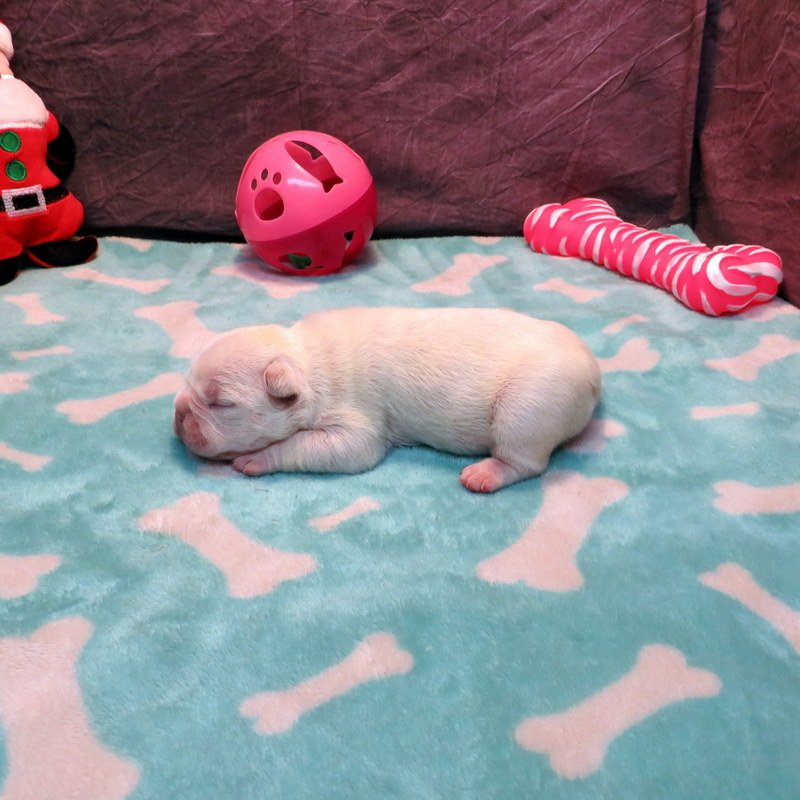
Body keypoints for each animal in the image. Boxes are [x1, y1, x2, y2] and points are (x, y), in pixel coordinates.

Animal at [173, 307, 601, 493]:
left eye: (220, 404)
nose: (178, 414)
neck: (309, 362)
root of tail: (594, 368)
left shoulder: (356, 429)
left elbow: (313, 446)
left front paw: (256, 459)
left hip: (528, 406)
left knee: (526, 461)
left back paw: (485, 474)